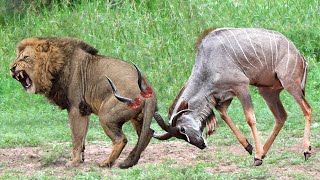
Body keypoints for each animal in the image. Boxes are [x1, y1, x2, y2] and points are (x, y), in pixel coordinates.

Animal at [10, 37, 158, 169]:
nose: (11, 68)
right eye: (18, 57)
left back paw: (107, 163)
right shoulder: (84, 110)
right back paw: (130, 161)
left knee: (121, 139)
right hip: (137, 117)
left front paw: (73, 162)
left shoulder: (75, 109)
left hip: (106, 114)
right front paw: (80, 159)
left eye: (25, 57)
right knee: (147, 133)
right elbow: (82, 138)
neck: (54, 67)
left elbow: (76, 137)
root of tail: (147, 89)